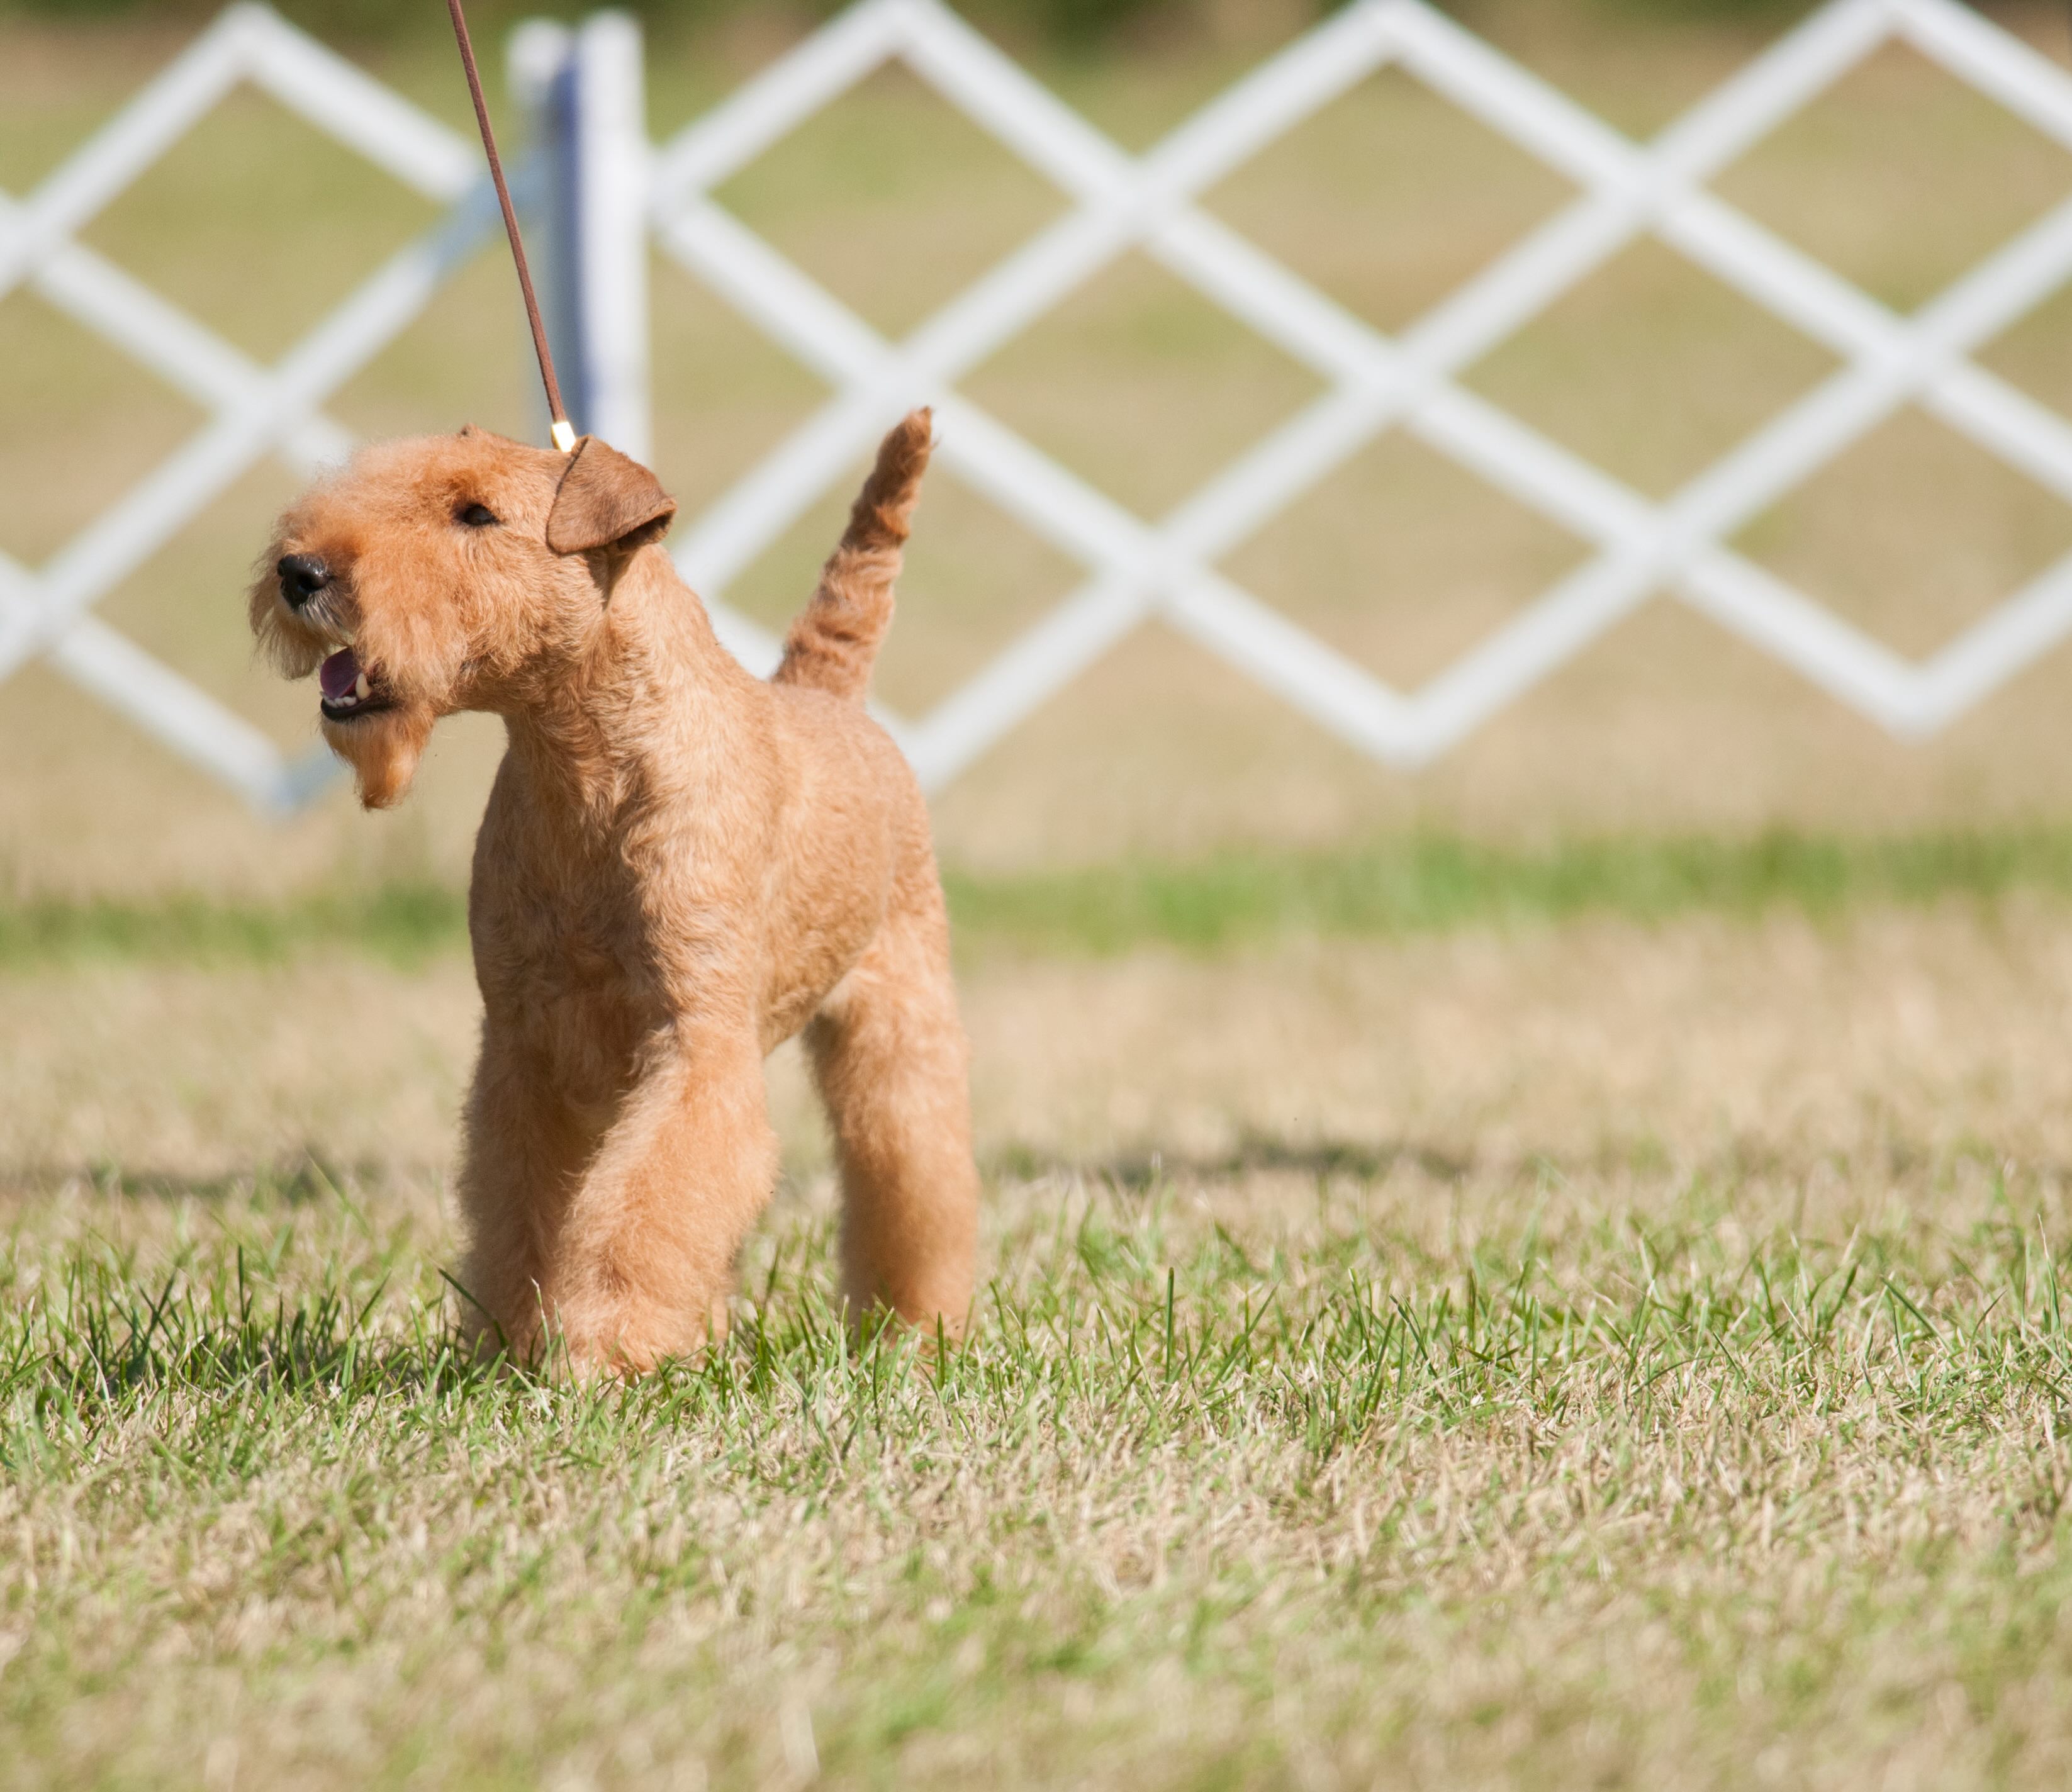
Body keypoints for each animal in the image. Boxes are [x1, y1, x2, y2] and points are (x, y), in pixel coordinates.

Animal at [249, 416, 978, 1367]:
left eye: (476, 513)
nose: (299, 572)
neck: (588, 769)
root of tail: (831, 696)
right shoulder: (525, 1047)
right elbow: (524, 1207)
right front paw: (511, 1347)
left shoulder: (693, 1039)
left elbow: (646, 1209)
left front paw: (605, 1355)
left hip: (901, 1013)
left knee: (915, 1173)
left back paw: (917, 1328)